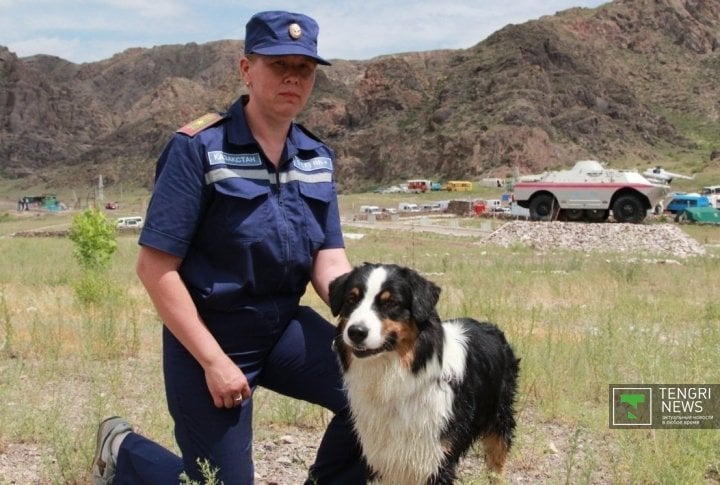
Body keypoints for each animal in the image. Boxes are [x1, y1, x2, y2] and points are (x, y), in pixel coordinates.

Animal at [330, 264, 520, 484]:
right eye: (351, 300)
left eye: (391, 303)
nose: (356, 332)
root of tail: (490, 326)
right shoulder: (381, 458)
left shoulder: (434, 458)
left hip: (499, 418)